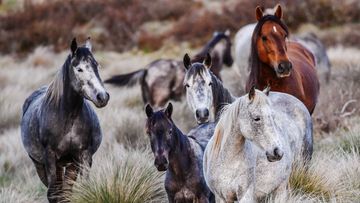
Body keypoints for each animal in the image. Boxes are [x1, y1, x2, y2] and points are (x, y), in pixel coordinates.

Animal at [20, 37, 108, 201]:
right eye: (79, 69)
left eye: (97, 65)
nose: (102, 96)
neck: (68, 118)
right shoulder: (49, 158)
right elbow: (53, 194)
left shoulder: (84, 156)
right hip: (41, 164)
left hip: (69, 164)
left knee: (66, 191)